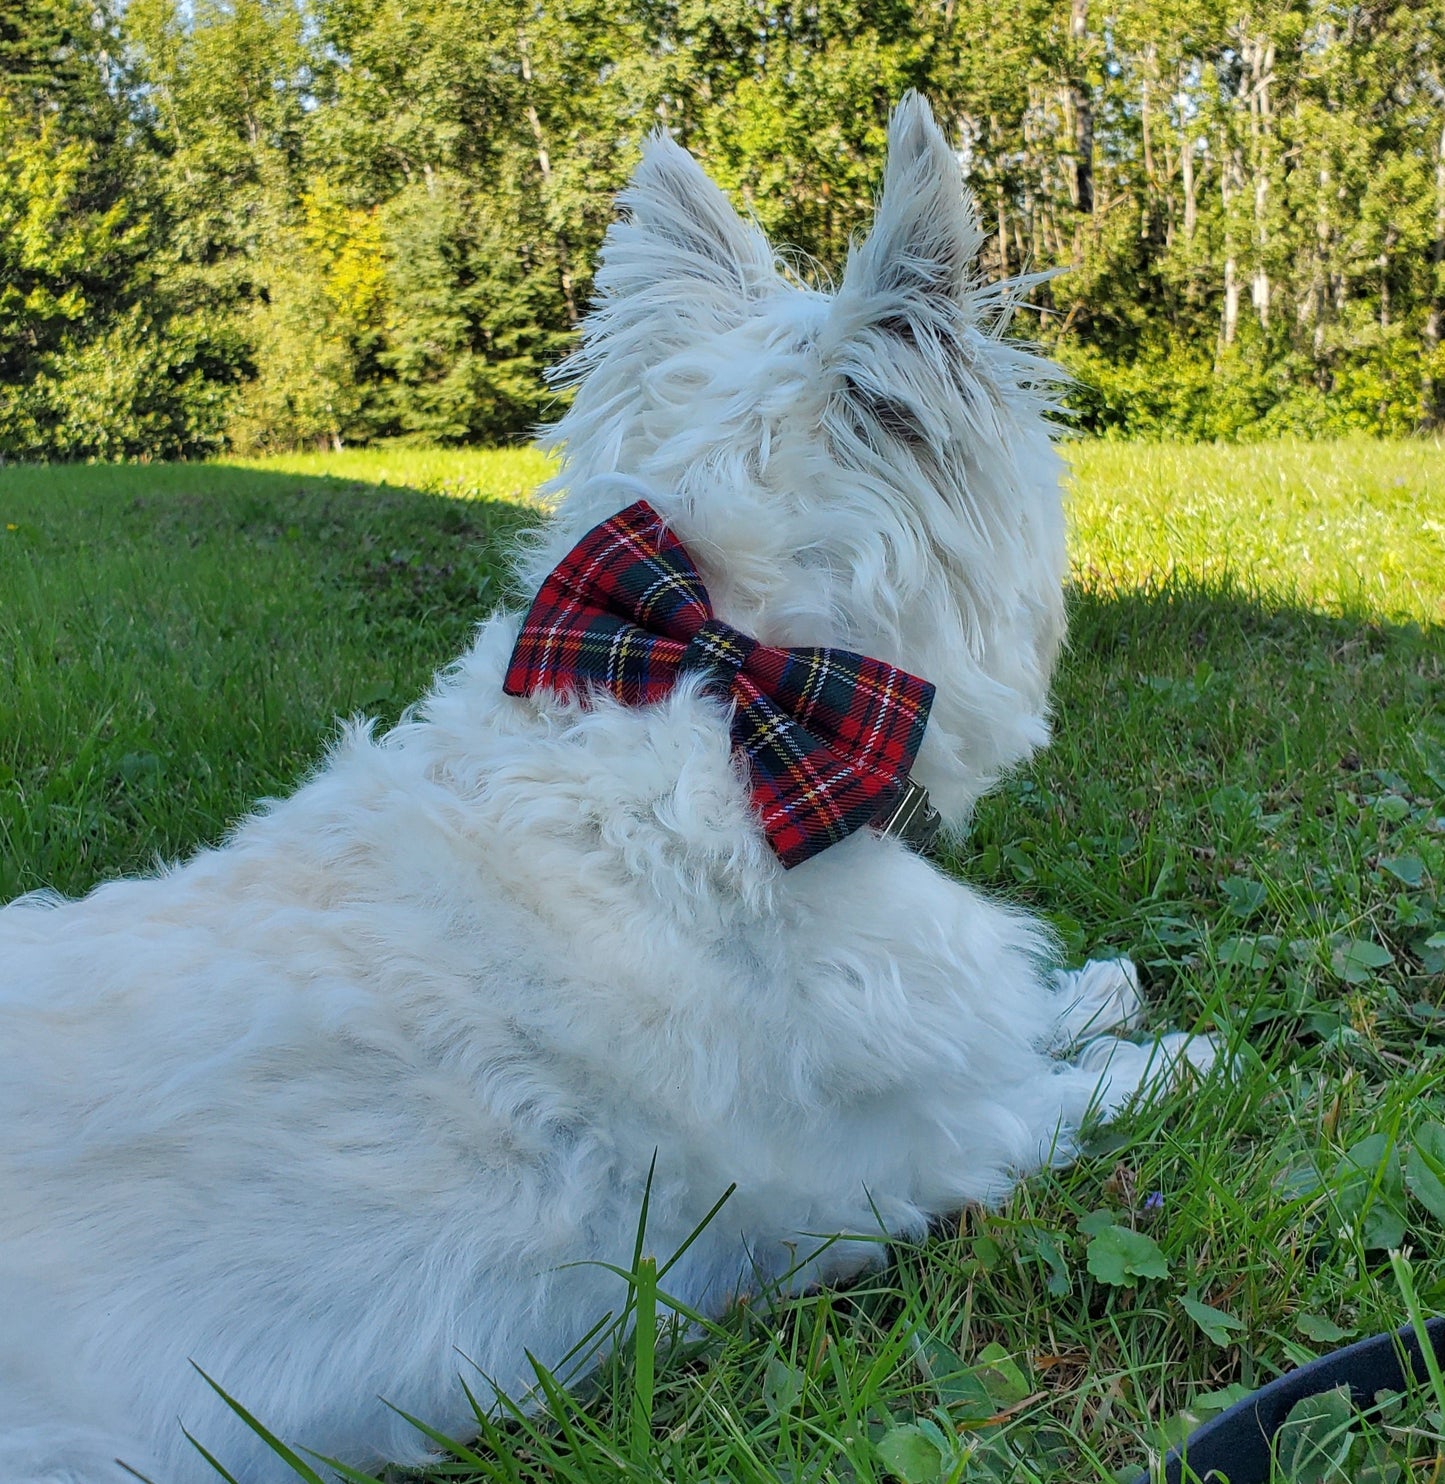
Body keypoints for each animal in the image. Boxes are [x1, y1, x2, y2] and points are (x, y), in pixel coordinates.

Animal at [0, 95, 1210, 1484]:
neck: (736, 713)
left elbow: (1036, 1017)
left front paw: (1098, 989)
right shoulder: (913, 1160)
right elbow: (1070, 1093)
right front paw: (1180, 1051)